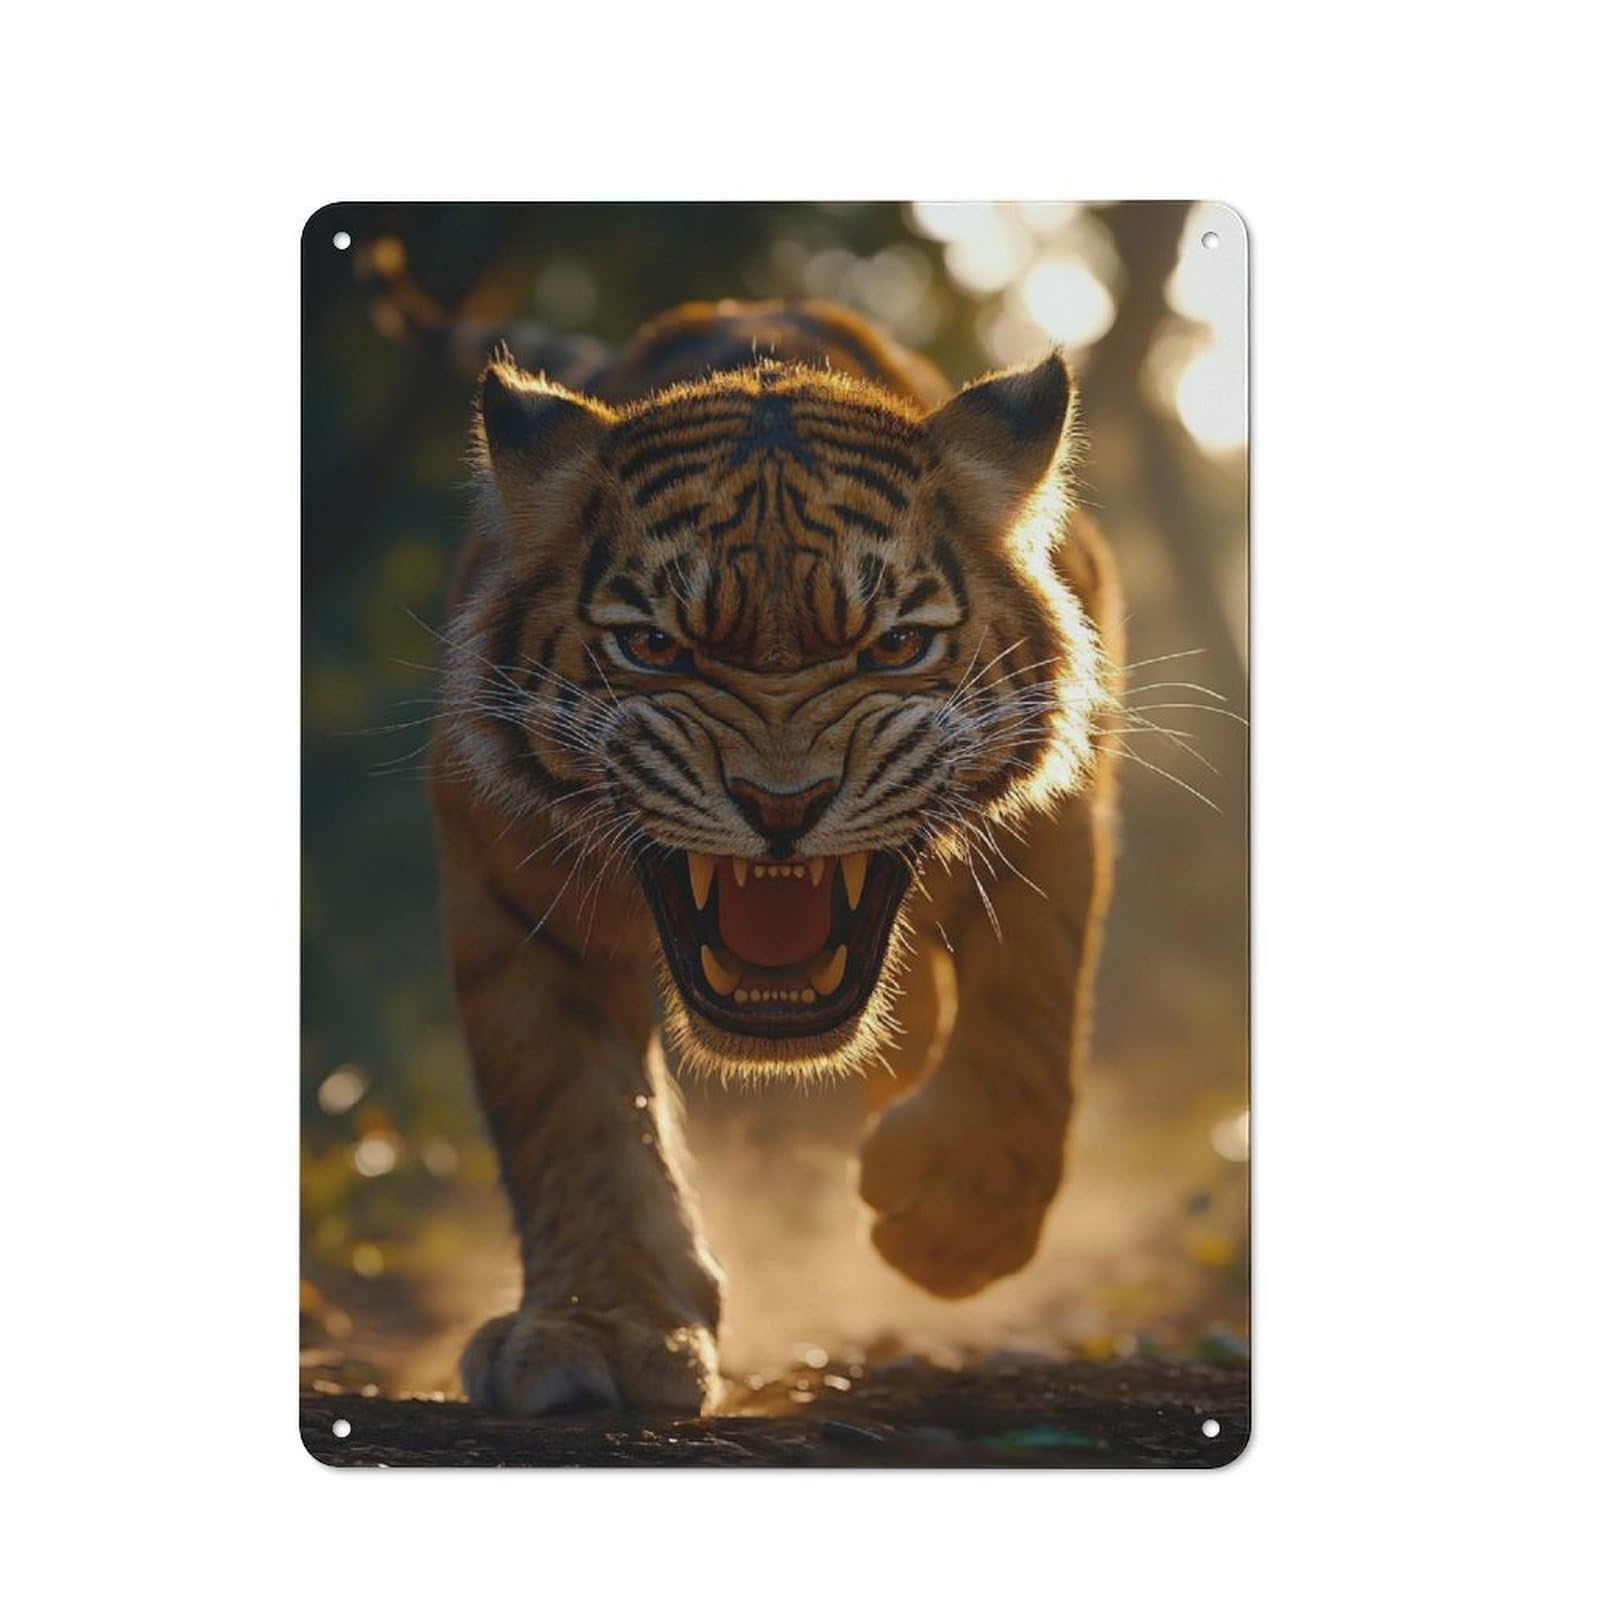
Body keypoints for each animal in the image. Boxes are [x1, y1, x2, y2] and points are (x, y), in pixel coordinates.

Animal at [429, 299, 1122, 1415]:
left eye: (894, 646)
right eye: (654, 648)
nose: (781, 804)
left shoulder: (1057, 808)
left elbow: (1028, 1009)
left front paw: (960, 1219)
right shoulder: (505, 878)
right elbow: (573, 1110)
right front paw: (599, 1327)